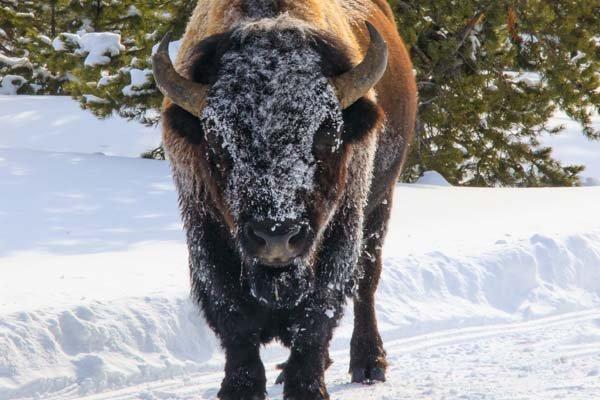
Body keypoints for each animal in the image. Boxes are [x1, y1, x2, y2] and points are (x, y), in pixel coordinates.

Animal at [152, 0, 418, 400]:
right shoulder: (204, 229)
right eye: (216, 141)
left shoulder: (342, 227)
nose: (275, 236)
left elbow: (317, 312)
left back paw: (369, 364)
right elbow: (233, 315)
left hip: (380, 203)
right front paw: (240, 388)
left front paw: (307, 388)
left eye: (327, 134)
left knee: (366, 283)